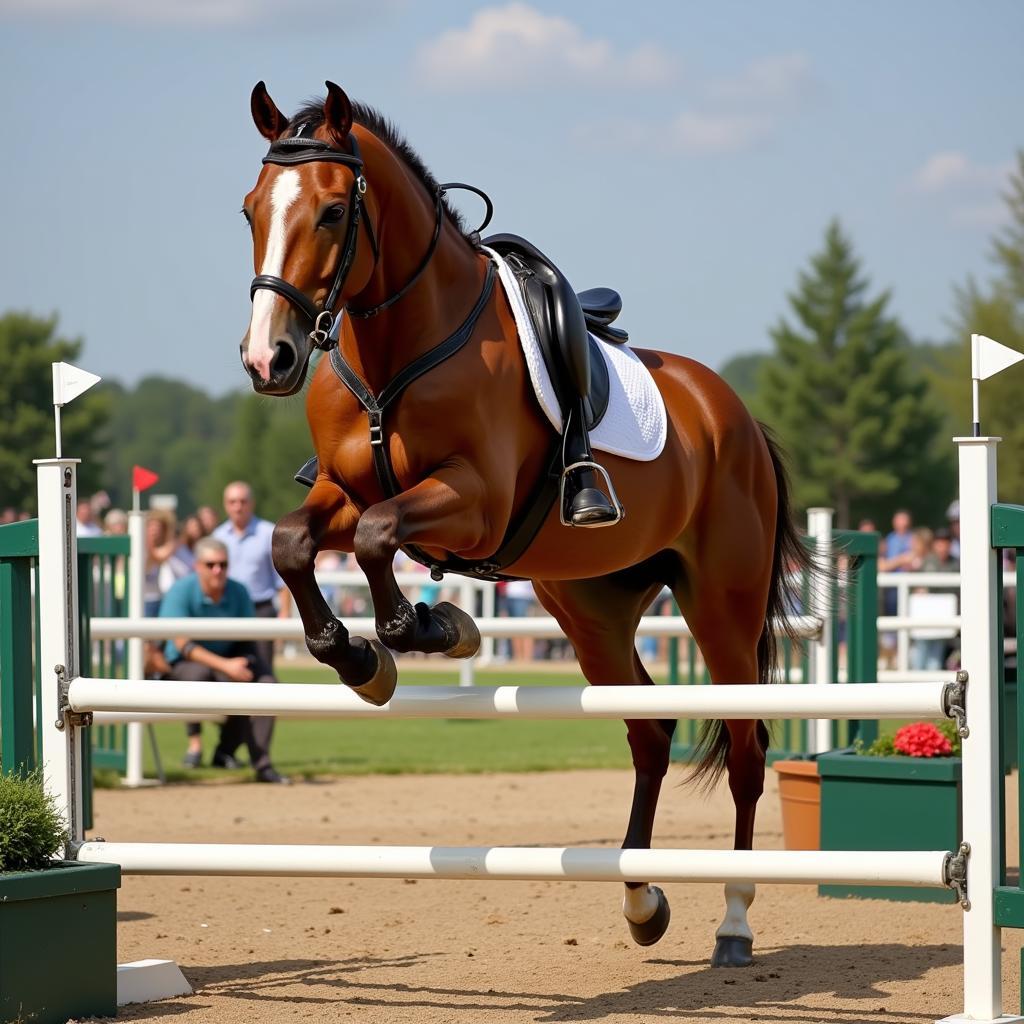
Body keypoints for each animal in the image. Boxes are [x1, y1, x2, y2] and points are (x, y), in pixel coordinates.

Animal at [237, 81, 806, 966]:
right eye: (251, 210)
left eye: (332, 213)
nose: (270, 361)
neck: (396, 341)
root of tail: (735, 415)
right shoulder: (343, 491)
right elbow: (296, 542)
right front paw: (361, 656)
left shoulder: (474, 504)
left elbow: (377, 538)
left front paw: (425, 629)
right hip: (590, 606)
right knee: (649, 731)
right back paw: (641, 900)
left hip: (722, 606)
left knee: (747, 750)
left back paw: (735, 922)